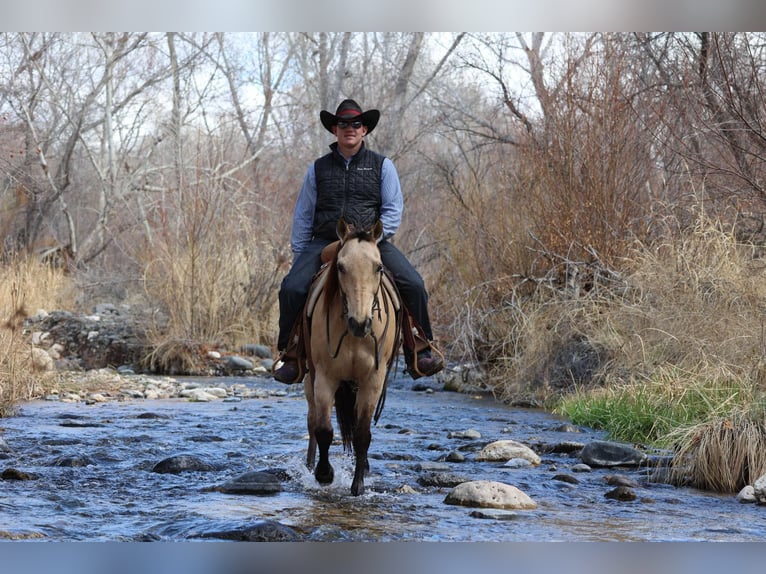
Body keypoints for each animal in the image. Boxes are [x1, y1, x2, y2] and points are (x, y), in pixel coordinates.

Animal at [303, 218, 401, 496]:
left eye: (378, 267)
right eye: (341, 267)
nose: (360, 323)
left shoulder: (373, 380)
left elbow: (362, 434)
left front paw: (358, 485)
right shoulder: (324, 378)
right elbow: (324, 430)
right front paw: (324, 474)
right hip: (309, 380)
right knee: (311, 421)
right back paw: (310, 464)